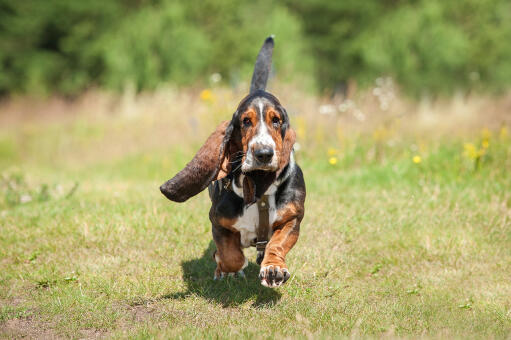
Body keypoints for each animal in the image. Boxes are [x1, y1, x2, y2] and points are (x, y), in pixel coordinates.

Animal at [158, 37, 306, 286]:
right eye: (246, 121)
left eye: (276, 120)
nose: (264, 153)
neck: (259, 188)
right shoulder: (217, 221)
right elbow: (230, 255)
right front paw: (228, 268)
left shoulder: (292, 218)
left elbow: (277, 244)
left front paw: (273, 268)